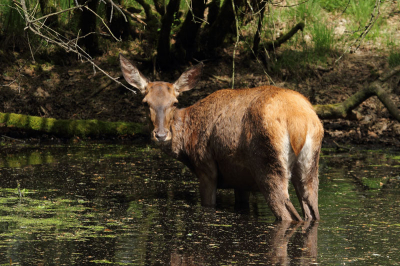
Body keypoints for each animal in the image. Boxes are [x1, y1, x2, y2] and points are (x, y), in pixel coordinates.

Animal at [118, 54, 322, 220]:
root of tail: (299, 122)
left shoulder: (206, 168)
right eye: (145, 103)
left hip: (268, 164)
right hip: (310, 167)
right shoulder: (240, 180)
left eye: (174, 102)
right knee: (312, 213)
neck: (186, 145)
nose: (161, 135)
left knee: (289, 215)